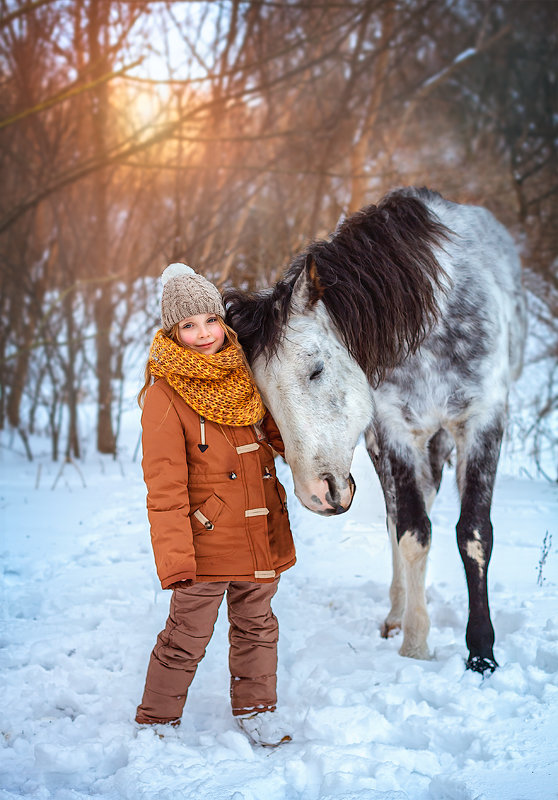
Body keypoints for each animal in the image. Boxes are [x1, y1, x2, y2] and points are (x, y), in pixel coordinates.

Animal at [225, 189, 528, 676]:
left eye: (316, 369)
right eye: (263, 398)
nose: (317, 494)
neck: (432, 318)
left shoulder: (483, 421)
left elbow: (475, 534)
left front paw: (482, 653)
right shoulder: (394, 430)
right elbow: (411, 532)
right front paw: (415, 643)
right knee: (396, 516)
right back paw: (396, 613)